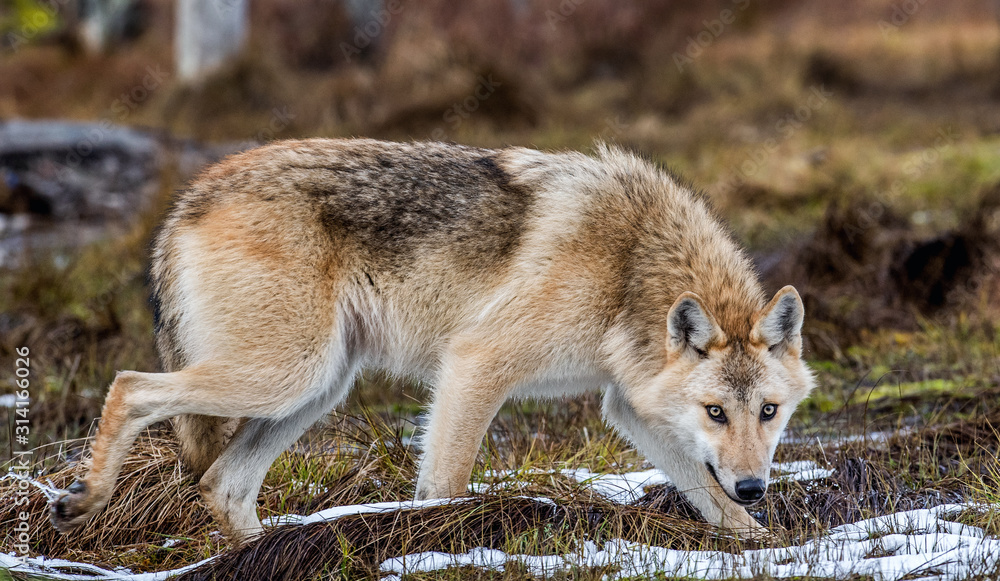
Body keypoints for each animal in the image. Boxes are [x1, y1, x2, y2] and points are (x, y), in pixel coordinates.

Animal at [48, 138, 812, 540]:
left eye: (768, 412)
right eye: (716, 411)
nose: (755, 485)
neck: (631, 265)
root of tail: (186, 199)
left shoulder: (630, 407)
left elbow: (711, 502)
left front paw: (764, 545)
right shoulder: (475, 365)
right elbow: (444, 485)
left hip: (313, 392)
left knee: (222, 483)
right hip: (284, 377)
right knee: (131, 386)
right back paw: (82, 497)